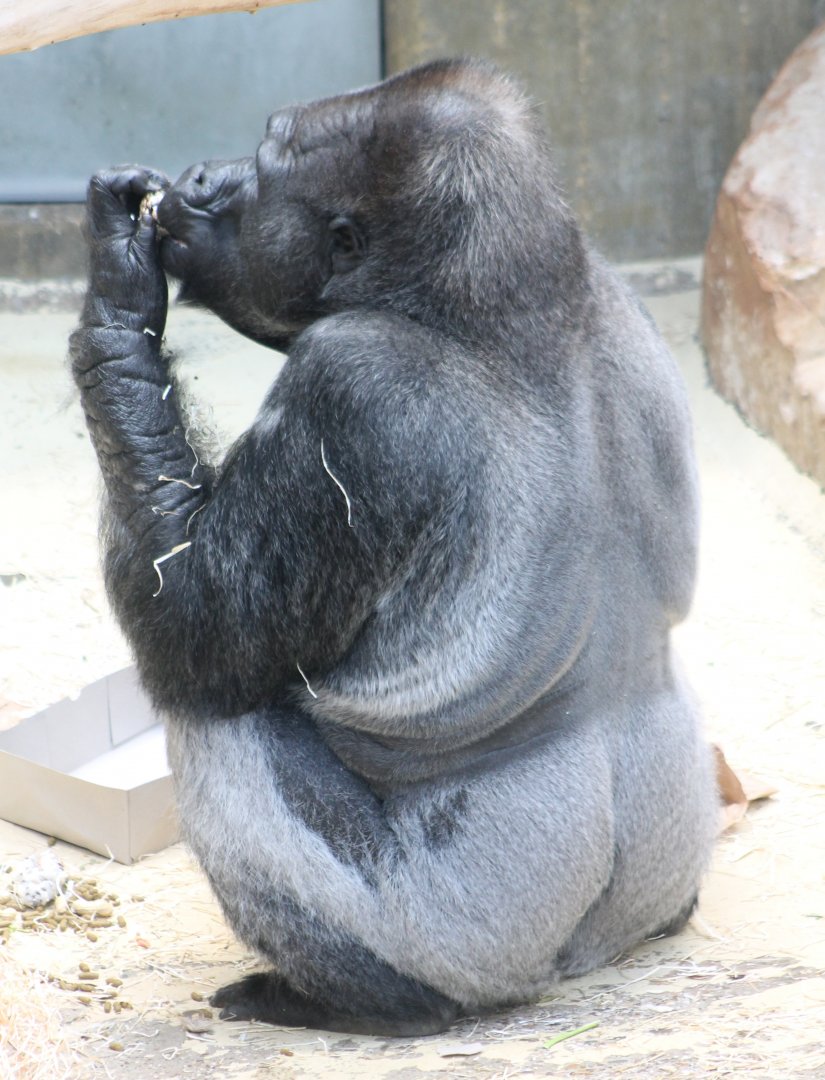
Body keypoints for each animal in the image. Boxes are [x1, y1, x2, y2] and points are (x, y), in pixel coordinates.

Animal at [69, 58, 717, 1035]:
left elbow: (193, 635)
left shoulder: (354, 386)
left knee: (221, 719)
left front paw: (116, 302)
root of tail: (581, 960)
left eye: (261, 167)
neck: (492, 298)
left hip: (465, 940)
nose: (202, 178)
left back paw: (359, 1001)